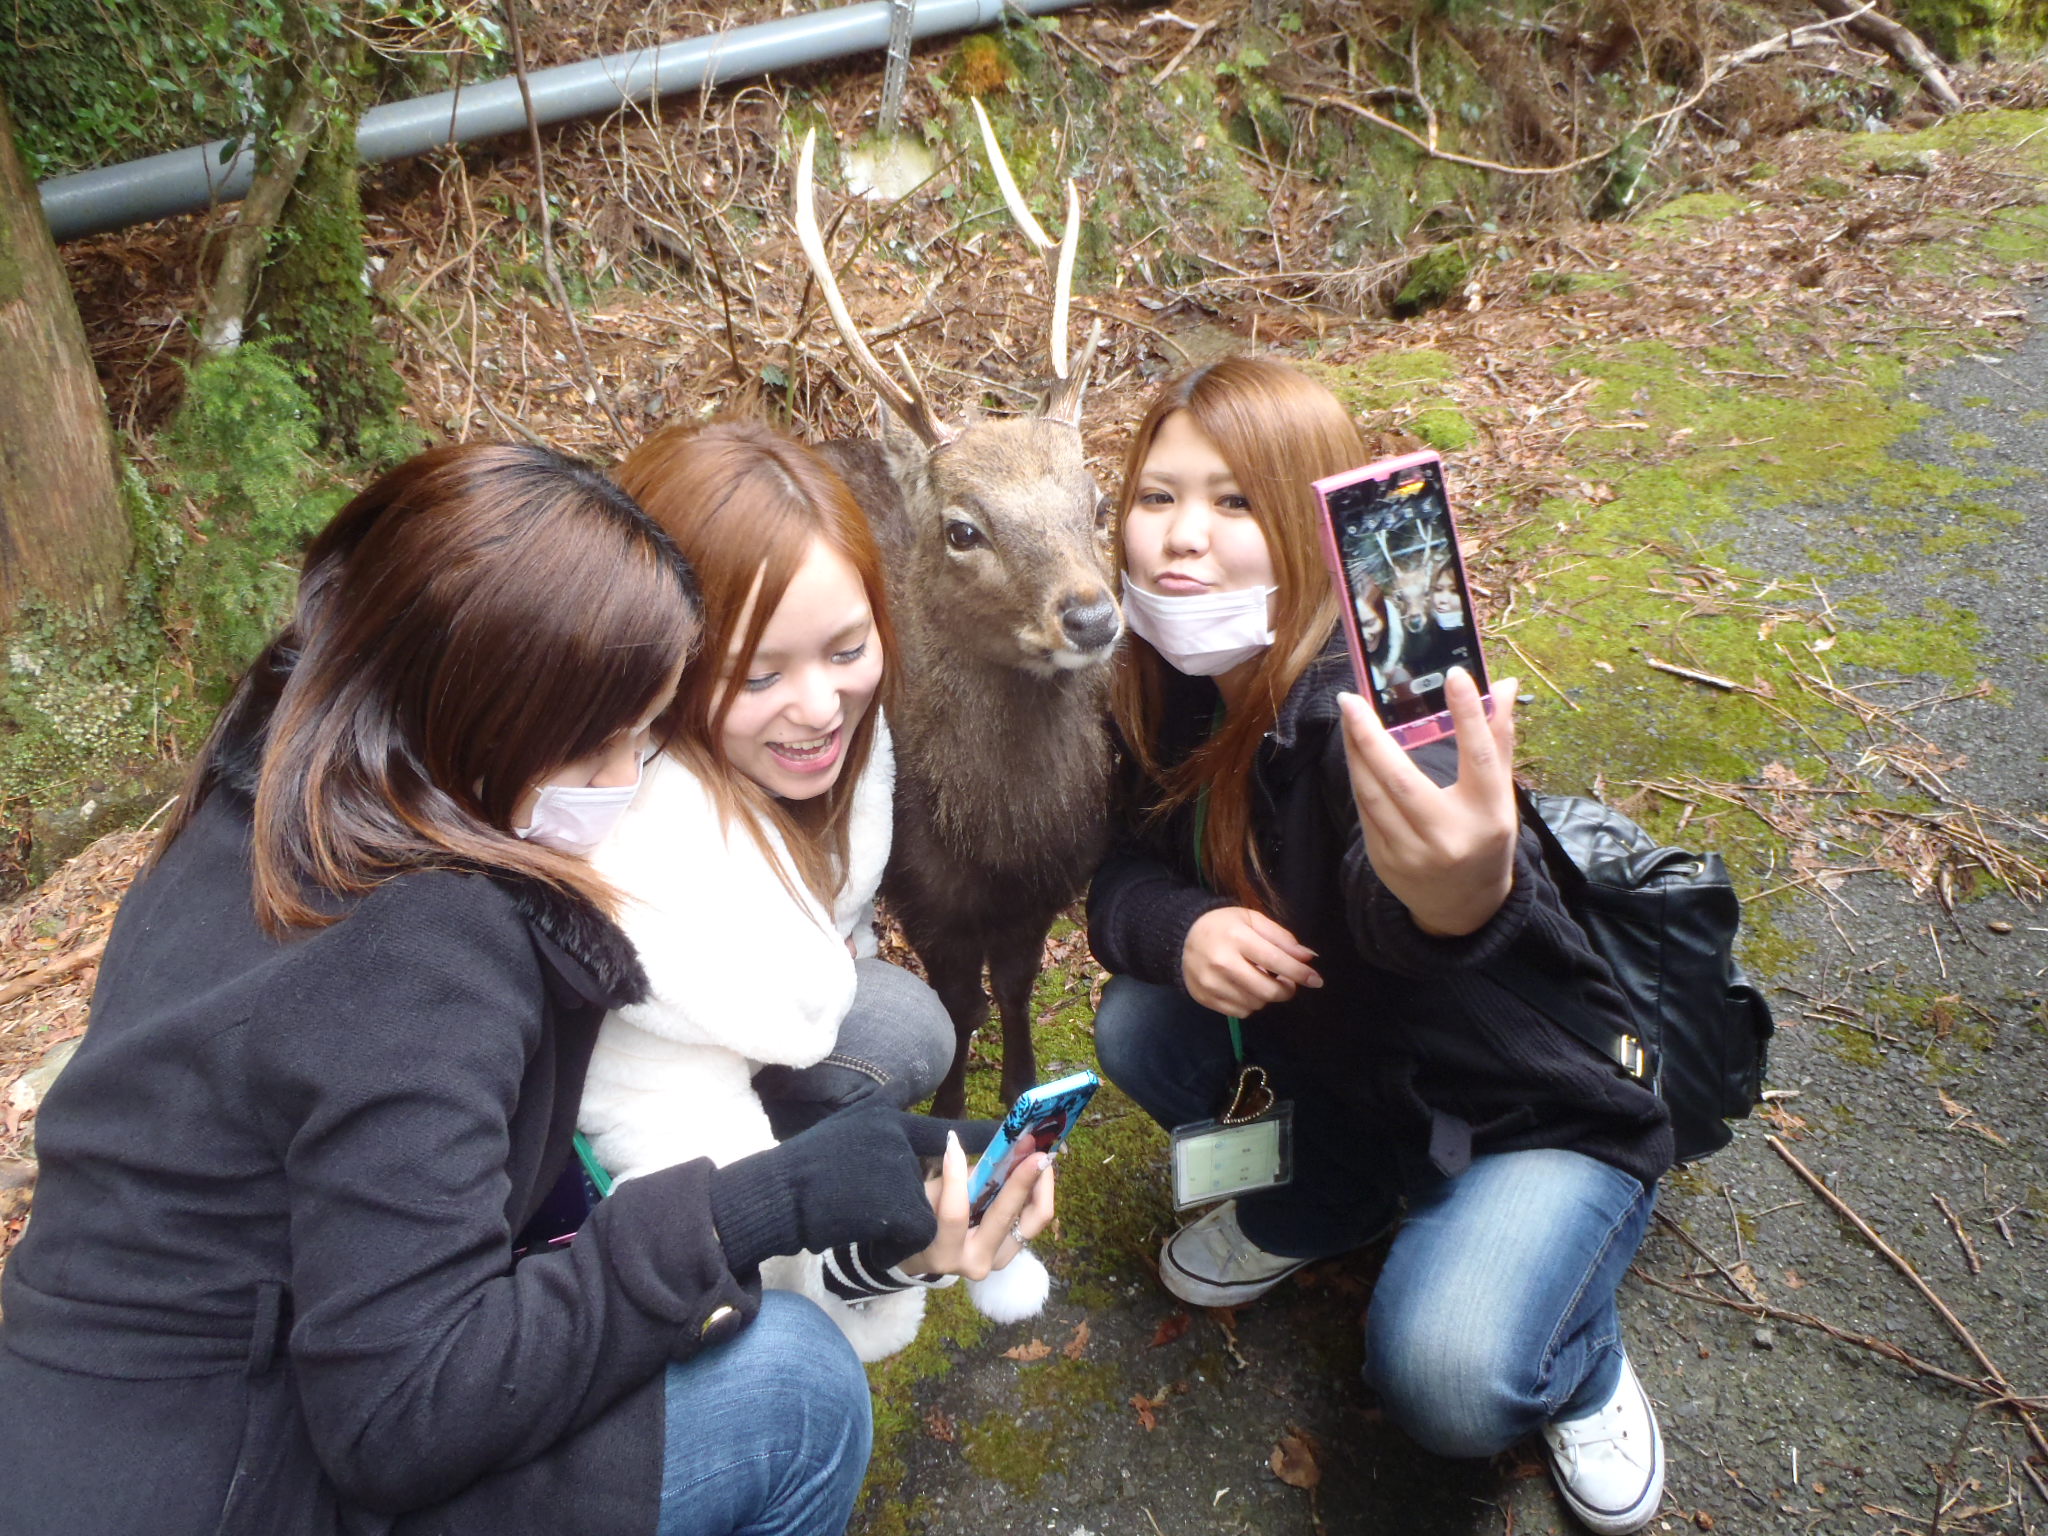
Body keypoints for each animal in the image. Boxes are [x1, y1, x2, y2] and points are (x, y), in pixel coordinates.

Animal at [792, 118, 1119, 1116]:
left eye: (1096, 501)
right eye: (964, 528)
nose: (1091, 616)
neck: (999, 839)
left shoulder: (1052, 884)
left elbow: (1012, 985)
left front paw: (1022, 1088)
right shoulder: (923, 887)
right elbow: (957, 1003)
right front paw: (951, 1114)